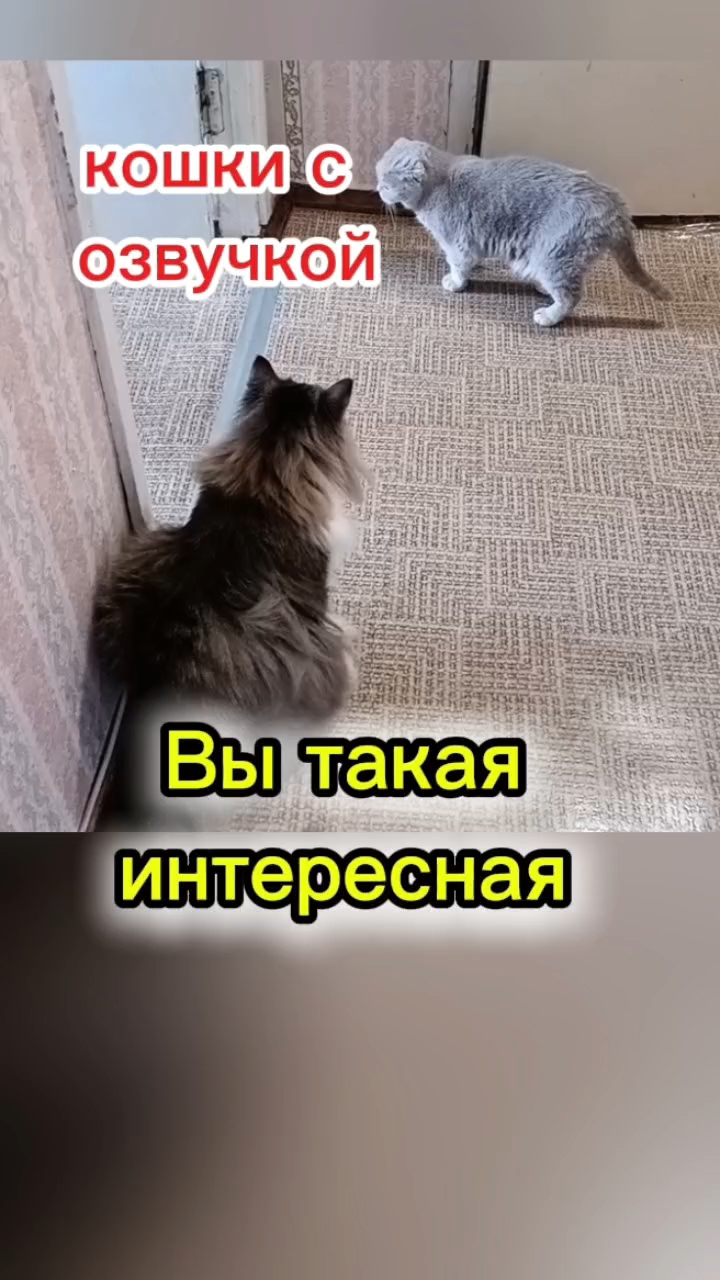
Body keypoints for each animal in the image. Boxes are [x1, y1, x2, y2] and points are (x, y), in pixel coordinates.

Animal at [376, 139, 671, 327]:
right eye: (377, 176)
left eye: (386, 185)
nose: (377, 190)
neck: (439, 183)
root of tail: (613, 203)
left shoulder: (457, 242)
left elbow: (459, 266)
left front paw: (455, 282)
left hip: (556, 254)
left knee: (571, 296)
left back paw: (548, 316)